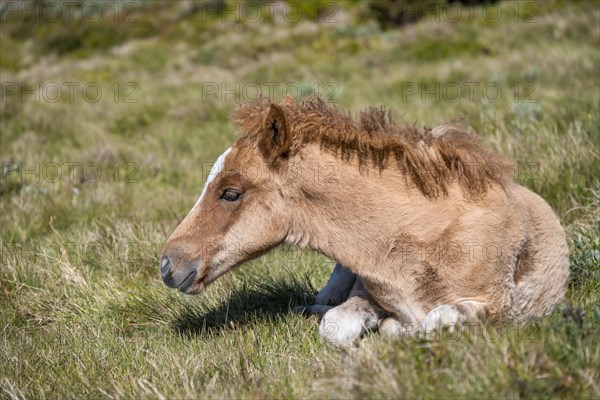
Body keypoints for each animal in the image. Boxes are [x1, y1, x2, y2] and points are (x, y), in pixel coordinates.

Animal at [158, 95, 568, 346]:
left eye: (230, 192)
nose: (167, 264)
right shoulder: (366, 290)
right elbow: (336, 326)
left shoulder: (500, 310)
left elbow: (430, 322)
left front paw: (394, 328)